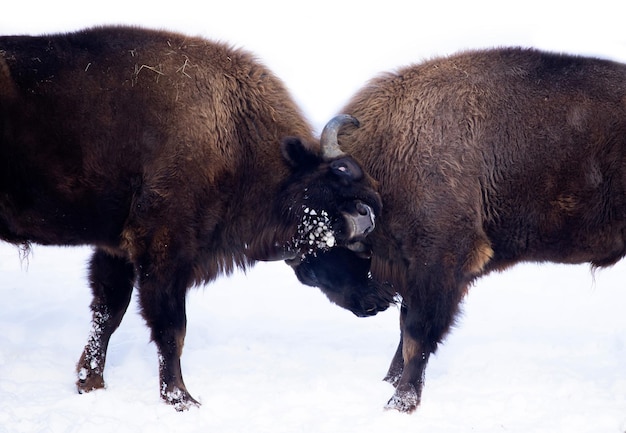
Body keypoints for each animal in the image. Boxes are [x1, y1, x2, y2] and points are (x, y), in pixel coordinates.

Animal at [0, 25, 380, 410]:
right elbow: (171, 327)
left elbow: (109, 311)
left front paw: (91, 383)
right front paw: (182, 399)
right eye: (349, 237)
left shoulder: (117, 249)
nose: (378, 299)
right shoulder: (165, 249)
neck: (234, 135)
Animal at [290, 46, 624, 412]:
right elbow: (405, 328)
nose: (368, 307)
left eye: (330, 244)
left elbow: (417, 333)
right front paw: (389, 382)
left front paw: (400, 402)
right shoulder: (415, 270)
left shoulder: (441, 261)